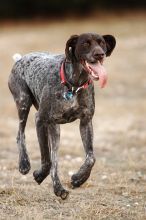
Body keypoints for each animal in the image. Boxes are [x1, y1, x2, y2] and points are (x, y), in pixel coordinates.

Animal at [8, 32, 116, 199]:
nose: (100, 54)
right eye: (85, 43)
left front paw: (79, 178)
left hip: (55, 129)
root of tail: (20, 59)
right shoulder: (40, 120)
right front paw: (41, 176)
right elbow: (47, 161)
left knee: (54, 157)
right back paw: (24, 163)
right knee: (21, 134)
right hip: (23, 103)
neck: (74, 86)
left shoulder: (85, 122)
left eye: (102, 43)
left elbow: (91, 157)